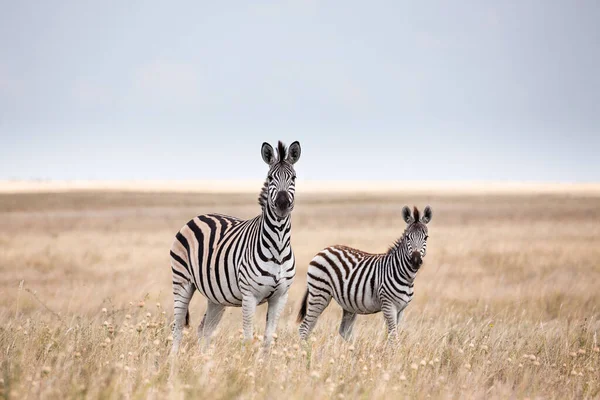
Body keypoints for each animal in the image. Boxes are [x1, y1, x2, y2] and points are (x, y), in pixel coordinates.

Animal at [170, 141, 302, 354]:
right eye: (270, 177)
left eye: (293, 177)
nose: (282, 204)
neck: (279, 246)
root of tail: (199, 216)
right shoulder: (249, 296)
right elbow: (248, 338)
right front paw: (247, 362)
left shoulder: (280, 296)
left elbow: (268, 339)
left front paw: (263, 363)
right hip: (182, 281)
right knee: (178, 325)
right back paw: (173, 359)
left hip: (215, 296)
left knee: (204, 329)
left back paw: (202, 358)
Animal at [296, 206, 432, 340]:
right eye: (407, 237)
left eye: (426, 237)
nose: (415, 261)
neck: (405, 275)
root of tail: (323, 250)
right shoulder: (388, 305)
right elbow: (393, 336)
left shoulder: (401, 309)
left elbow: (392, 334)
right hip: (319, 293)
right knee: (305, 327)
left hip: (346, 302)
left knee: (342, 330)